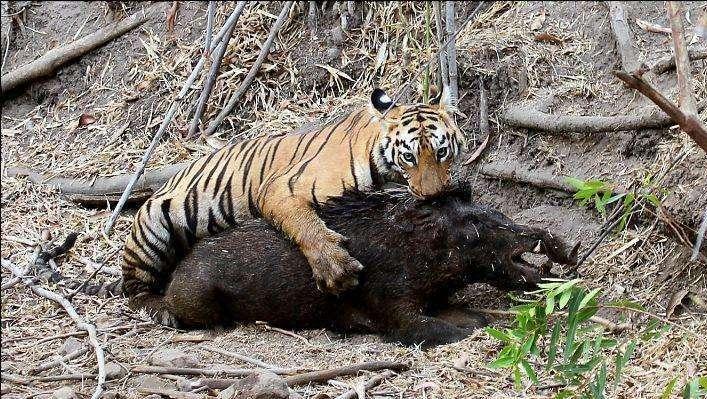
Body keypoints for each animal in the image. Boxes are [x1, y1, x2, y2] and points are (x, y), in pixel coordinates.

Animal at [123, 86, 464, 324]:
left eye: (442, 151)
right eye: (409, 157)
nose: (434, 195)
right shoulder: (279, 188)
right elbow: (306, 223)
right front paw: (335, 269)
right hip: (153, 225)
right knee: (132, 286)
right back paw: (159, 309)